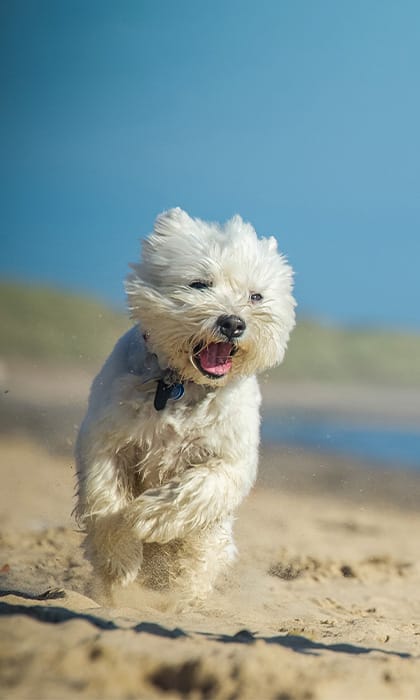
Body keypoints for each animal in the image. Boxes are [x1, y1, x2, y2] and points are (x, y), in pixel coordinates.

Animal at [74, 206, 296, 600]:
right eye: (199, 284)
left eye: (256, 296)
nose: (233, 323)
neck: (182, 385)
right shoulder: (107, 440)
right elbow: (105, 497)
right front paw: (119, 560)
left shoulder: (230, 458)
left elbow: (199, 489)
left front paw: (146, 517)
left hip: (215, 541)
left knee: (201, 555)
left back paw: (181, 594)